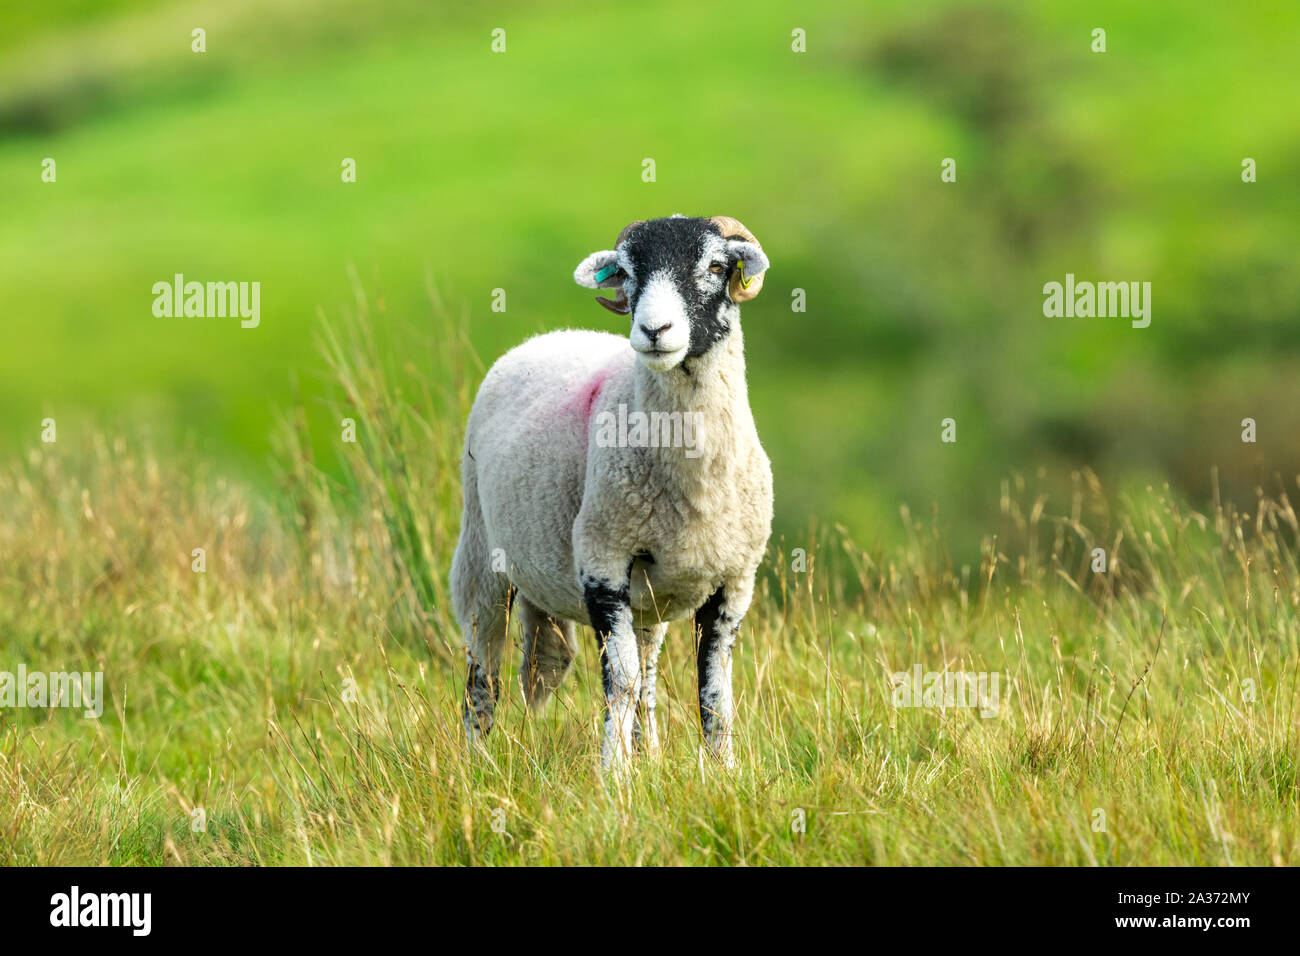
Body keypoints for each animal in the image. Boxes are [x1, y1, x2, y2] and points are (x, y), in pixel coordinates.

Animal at [451, 214, 774, 769]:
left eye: (716, 266)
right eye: (624, 270)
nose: (654, 331)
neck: (694, 484)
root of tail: (550, 336)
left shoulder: (734, 580)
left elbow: (714, 691)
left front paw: (723, 772)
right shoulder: (603, 561)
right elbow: (617, 683)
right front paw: (614, 775)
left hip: (650, 602)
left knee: (648, 677)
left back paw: (651, 755)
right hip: (480, 557)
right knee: (483, 671)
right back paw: (476, 761)